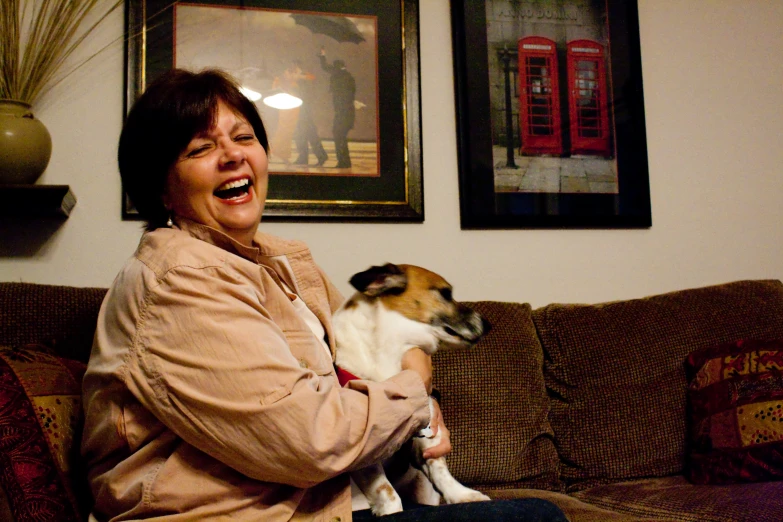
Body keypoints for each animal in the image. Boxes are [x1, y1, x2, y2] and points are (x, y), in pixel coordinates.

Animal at [334, 262, 494, 512]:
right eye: (446, 293)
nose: (489, 325)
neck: (393, 353)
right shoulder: (366, 449)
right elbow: (387, 492)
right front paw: (391, 511)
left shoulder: (426, 427)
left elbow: (440, 469)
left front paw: (461, 495)